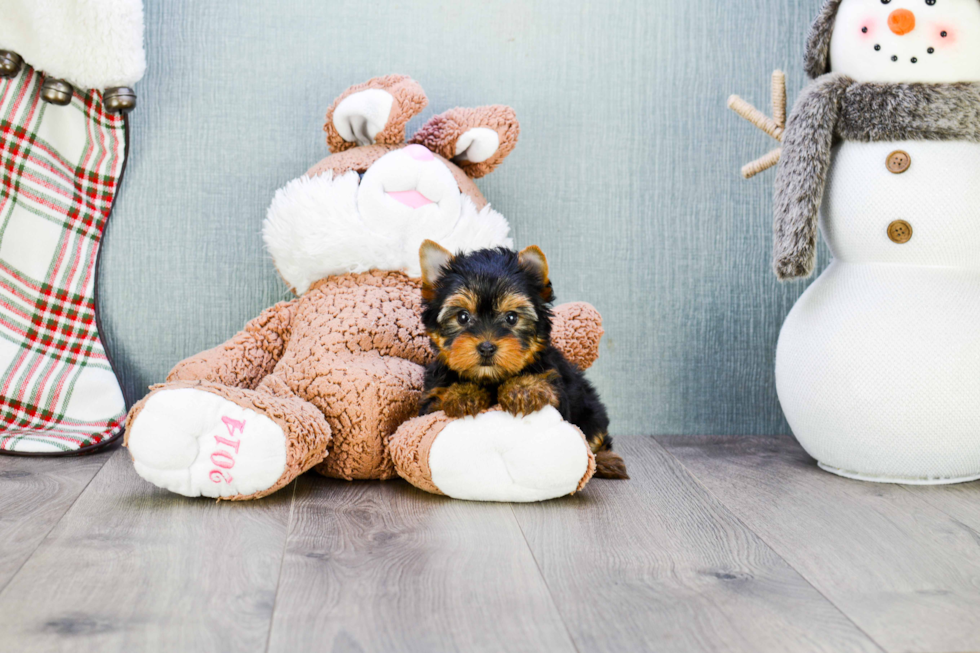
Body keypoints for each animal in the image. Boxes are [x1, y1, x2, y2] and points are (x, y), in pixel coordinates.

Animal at [414, 239, 628, 478]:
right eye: (462, 317)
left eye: (511, 317)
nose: (486, 347)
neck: (491, 378)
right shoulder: (430, 401)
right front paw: (463, 393)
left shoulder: (557, 390)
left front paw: (523, 389)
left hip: (591, 411)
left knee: (596, 436)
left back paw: (607, 461)